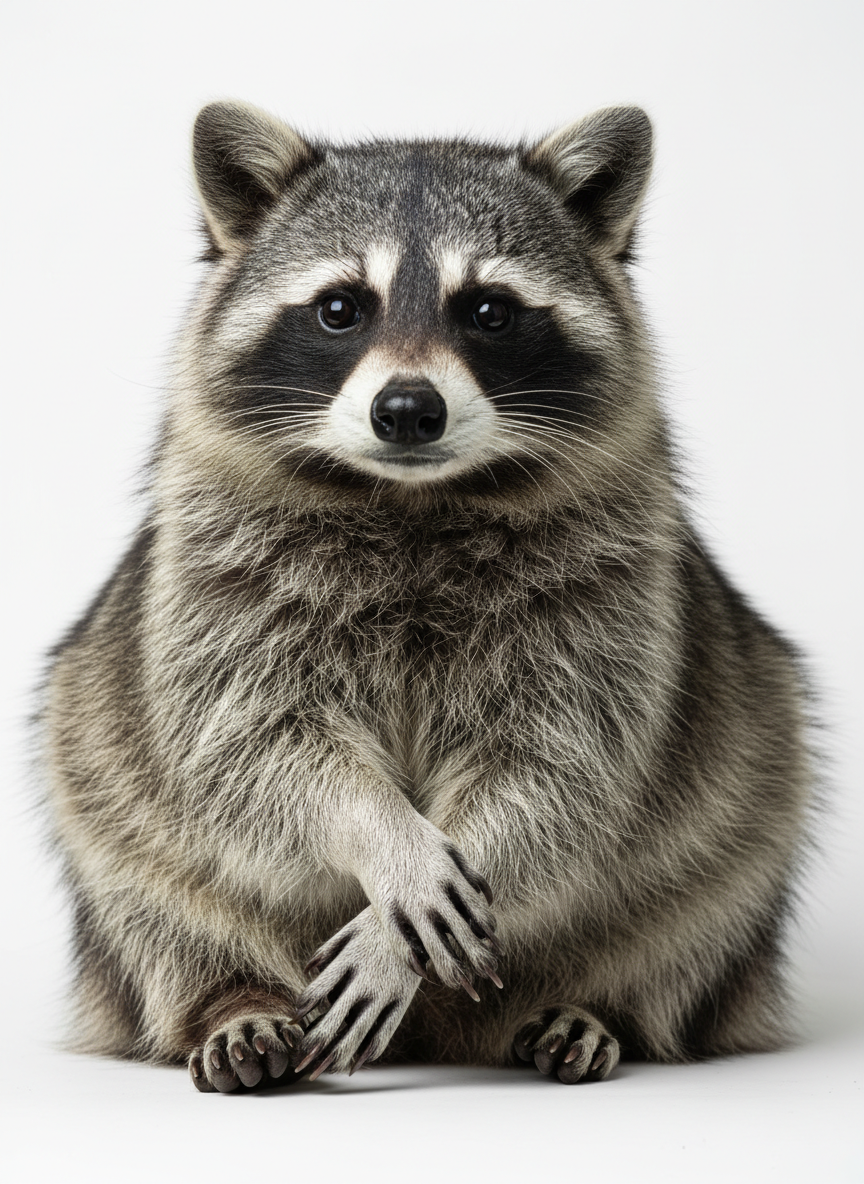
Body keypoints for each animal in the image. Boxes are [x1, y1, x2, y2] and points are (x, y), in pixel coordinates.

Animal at [42, 101, 813, 1092]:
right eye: (340, 308)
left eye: (488, 310)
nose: (407, 409)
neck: (412, 499)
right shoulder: (214, 589)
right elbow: (259, 746)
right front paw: (382, 837)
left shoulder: (611, 604)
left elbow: (563, 771)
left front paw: (394, 936)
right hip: (102, 792)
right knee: (155, 914)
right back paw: (231, 1000)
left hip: (750, 797)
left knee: (697, 920)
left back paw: (602, 1007)